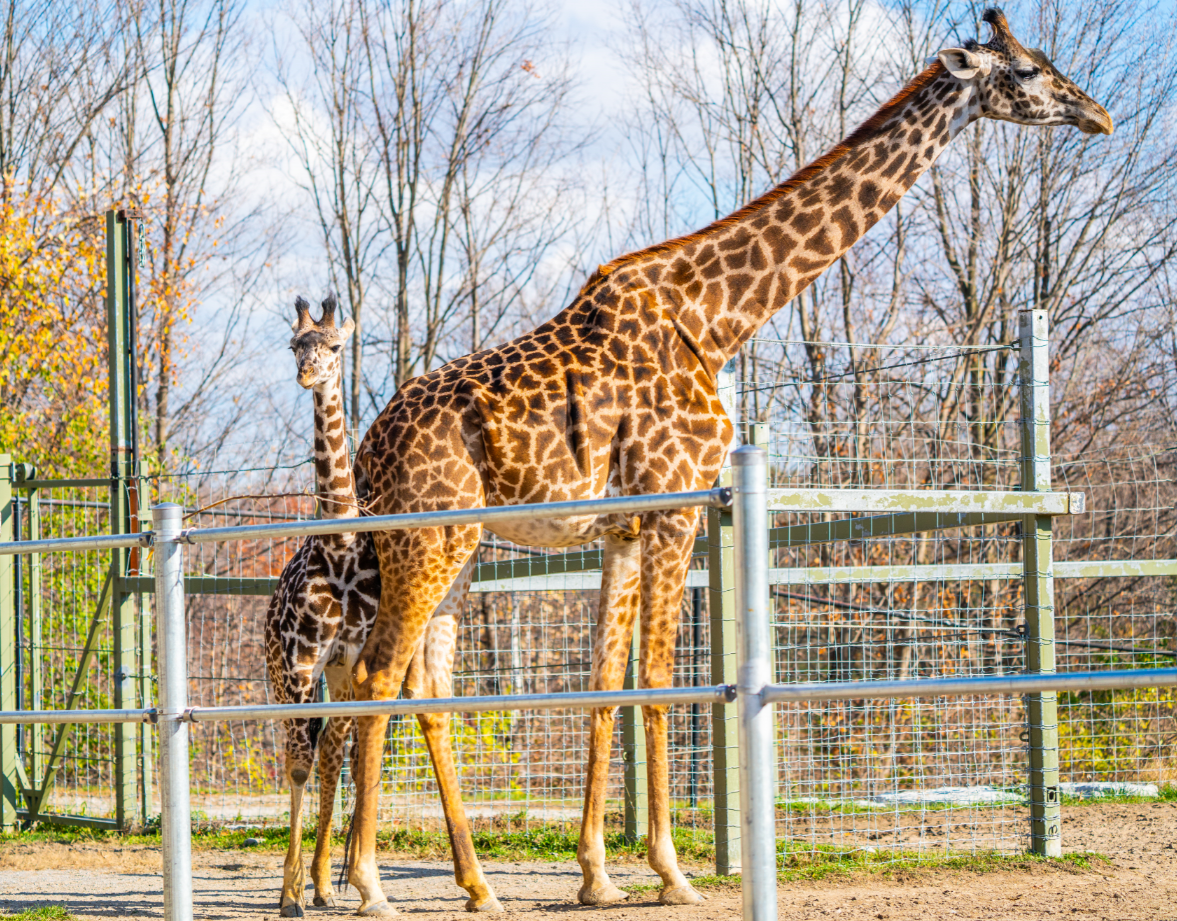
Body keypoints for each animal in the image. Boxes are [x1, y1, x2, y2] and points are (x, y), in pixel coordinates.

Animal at [265, 295, 500, 916]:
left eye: (335, 345)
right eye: (294, 344)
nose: (307, 374)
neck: (341, 545)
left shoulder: (350, 658)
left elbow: (340, 756)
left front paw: (324, 883)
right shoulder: (300, 663)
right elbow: (297, 766)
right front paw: (290, 895)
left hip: (341, 675)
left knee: (333, 751)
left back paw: (325, 884)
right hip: (284, 671)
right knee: (305, 754)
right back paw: (308, 887)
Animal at [343, 9, 1112, 914]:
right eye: (1025, 70)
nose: (1097, 116)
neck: (717, 318)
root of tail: (368, 449)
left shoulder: (623, 528)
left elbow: (609, 684)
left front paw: (597, 873)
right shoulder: (674, 505)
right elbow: (658, 679)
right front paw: (671, 871)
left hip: (458, 549)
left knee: (425, 689)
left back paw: (474, 884)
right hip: (424, 540)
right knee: (374, 672)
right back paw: (364, 882)